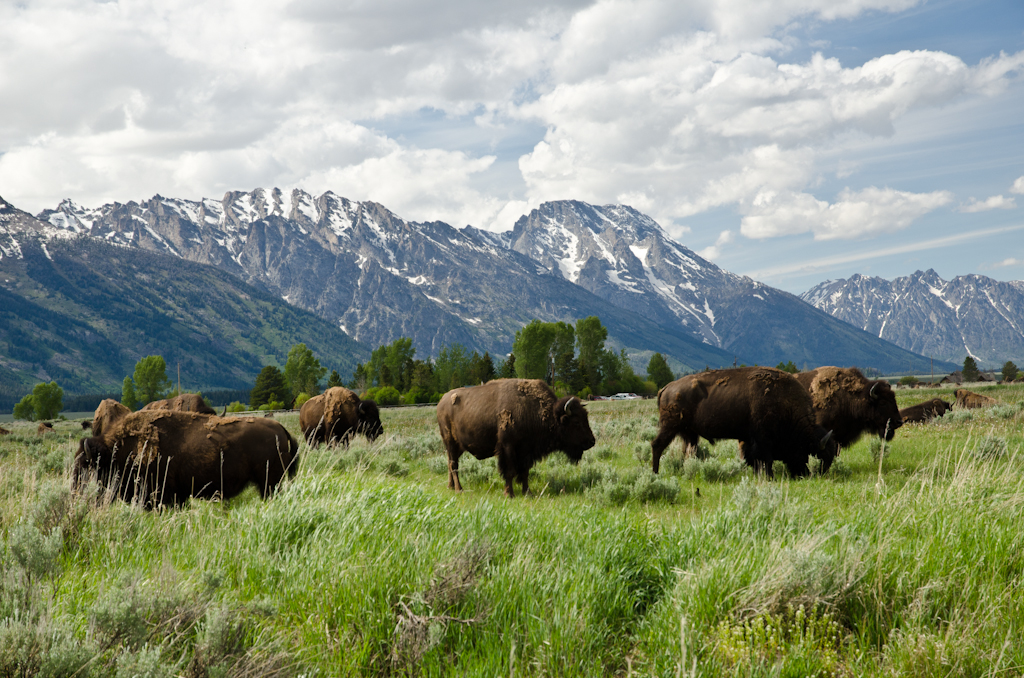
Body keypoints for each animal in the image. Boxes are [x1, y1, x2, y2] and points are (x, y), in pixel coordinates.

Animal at [436, 376, 598, 499]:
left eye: (585, 417)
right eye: (576, 422)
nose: (591, 441)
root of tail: (441, 402)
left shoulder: (527, 451)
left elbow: (525, 472)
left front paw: (528, 493)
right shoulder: (508, 447)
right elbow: (510, 471)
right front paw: (510, 494)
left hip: (457, 447)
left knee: (450, 463)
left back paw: (450, 487)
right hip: (450, 442)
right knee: (454, 465)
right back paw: (459, 489)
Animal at [651, 368, 835, 481]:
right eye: (816, 454)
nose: (806, 474)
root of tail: (666, 388)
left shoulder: (749, 440)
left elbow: (751, 458)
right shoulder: (763, 440)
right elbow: (765, 459)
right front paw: (770, 477)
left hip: (688, 433)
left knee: (688, 451)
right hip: (670, 427)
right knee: (657, 445)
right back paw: (655, 473)